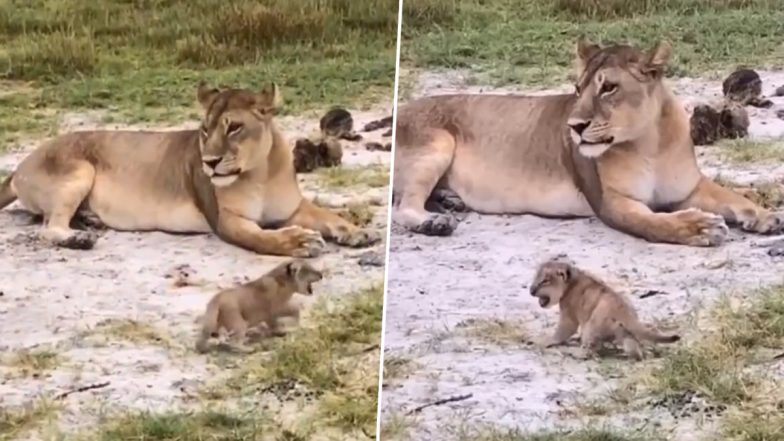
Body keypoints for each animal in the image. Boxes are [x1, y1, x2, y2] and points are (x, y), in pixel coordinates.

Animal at [0, 82, 380, 255]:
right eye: (204, 131)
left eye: (233, 128)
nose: (210, 162)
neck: (258, 172)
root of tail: (19, 166)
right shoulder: (225, 221)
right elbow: (262, 238)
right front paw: (299, 241)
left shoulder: (292, 208)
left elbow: (328, 215)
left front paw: (355, 231)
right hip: (79, 171)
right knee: (48, 227)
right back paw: (78, 237)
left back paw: (89, 220)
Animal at [392, 37, 782, 246]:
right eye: (578, 89)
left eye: (608, 87)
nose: (574, 126)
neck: (649, 143)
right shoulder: (611, 203)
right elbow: (656, 224)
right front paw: (700, 227)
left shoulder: (689, 188)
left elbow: (732, 197)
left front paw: (765, 216)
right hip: (437, 145)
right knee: (403, 206)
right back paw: (434, 221)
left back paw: (450, 201)